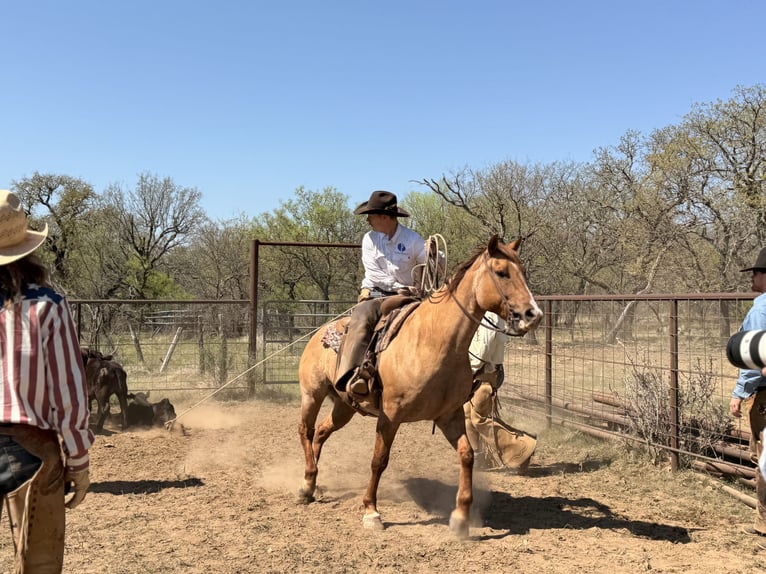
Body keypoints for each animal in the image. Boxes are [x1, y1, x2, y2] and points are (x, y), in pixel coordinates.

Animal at [297, 235, 543, 537]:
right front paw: (371, 512)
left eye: (523, 271)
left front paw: (461, 518)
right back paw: (305, 487)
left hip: (345, 407)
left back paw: (313, 481)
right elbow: (379, 460)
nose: (533, 314)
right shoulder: (390, 416)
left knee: (320, 432)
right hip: (312, 394)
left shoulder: (449, 415)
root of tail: (320, 332)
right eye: (501, 272)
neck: (433, 341)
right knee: (306, 430)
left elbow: (467, 455)